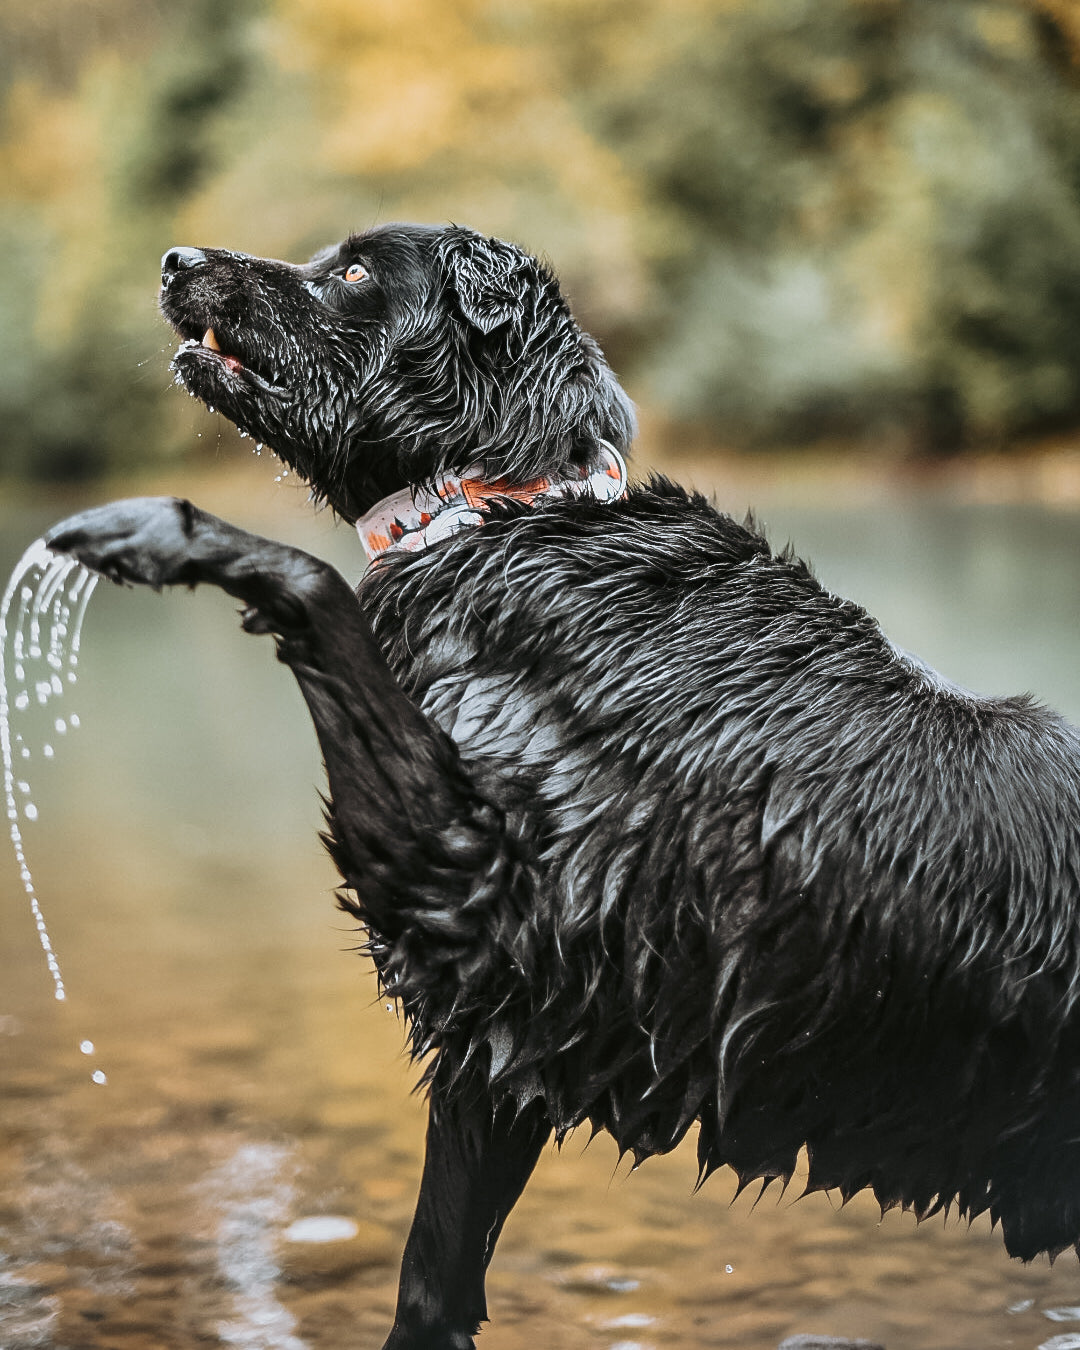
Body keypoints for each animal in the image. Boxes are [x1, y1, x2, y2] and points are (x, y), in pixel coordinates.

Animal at [46, 224, 1080, 1350]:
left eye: (355, 272)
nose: (175, 257)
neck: (504, 512)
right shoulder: (502, 1038)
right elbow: (432, 1279)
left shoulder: (478, 890)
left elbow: (318, 593)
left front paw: (164, 531)